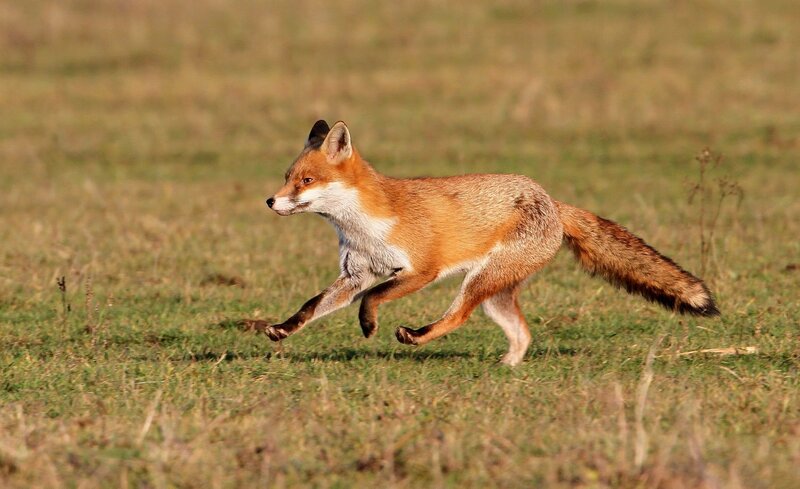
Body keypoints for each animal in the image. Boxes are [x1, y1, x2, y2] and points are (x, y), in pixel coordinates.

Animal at [250, 120, 719, 366]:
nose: (270, 200)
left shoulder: (421, 270)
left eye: (306, 181)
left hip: (476, 281)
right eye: (287, 177)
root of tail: (552, 201)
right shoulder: (355, 273)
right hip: (496, 293)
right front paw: (282, 329)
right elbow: (311, 306)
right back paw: (508, 367)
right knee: (523, 334)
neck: (365, 224)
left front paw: (368, 325)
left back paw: (416, 336)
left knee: (457, 317)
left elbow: (374, 297)